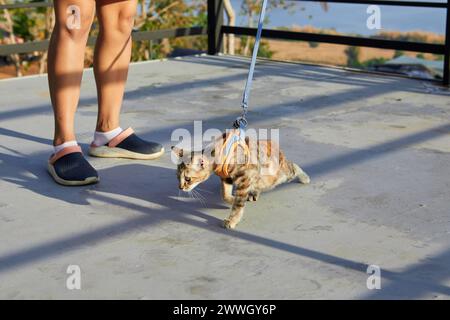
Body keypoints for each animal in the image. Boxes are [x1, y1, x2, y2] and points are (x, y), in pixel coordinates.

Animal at [171, 131, 312, 229]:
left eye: (188, 179)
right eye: (177, 177)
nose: (180, 187)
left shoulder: (244, 178)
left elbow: (238, 204)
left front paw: (232, 220)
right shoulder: (226, 177)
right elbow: (225, 194)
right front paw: (231, 199)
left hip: (274, 176)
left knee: (292, 166)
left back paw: (304, 177)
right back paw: (254, 193)